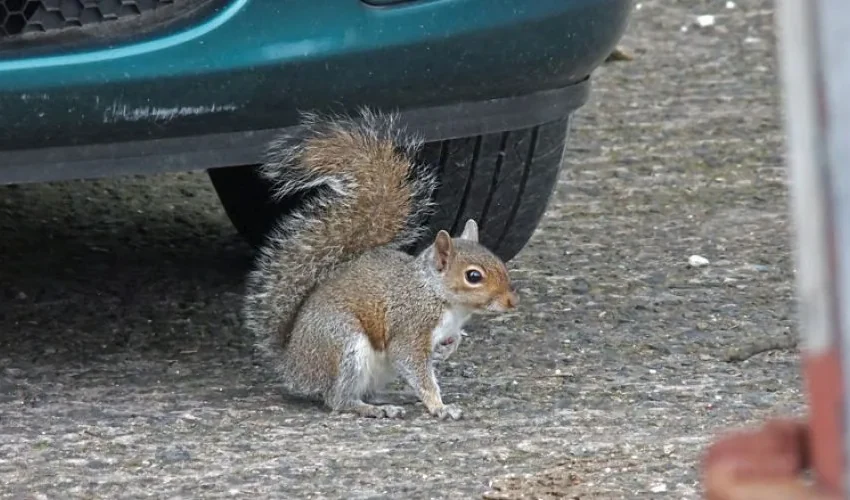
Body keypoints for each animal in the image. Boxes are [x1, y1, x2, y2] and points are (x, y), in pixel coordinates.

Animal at [242, 108, 519, 420]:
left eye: (498, 261)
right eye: (473, 276)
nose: (512, 301)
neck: (439, 296)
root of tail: (293, 365)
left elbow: (453, 340)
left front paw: (448, 350)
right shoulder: (411, 325)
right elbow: (412, 364)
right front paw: (440, 406)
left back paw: (394, 397)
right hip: (346, 346)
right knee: (337, 399)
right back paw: (373, 409)